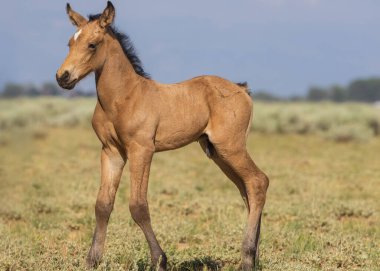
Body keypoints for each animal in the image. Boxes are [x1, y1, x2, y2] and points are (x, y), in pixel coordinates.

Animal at [56, 1, 268, 270]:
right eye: (69, 43)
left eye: (92, 44)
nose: (63, 77)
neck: (124, 97)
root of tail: (242, 90)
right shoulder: (111, 151)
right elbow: (103, 204)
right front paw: (92, 260)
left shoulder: (141, 150)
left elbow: (138, 206)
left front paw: (159, 259)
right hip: (218, 152)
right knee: (246, 189)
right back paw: (254, 255)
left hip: (231, 147)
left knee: (258, 182)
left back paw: (248, 256)